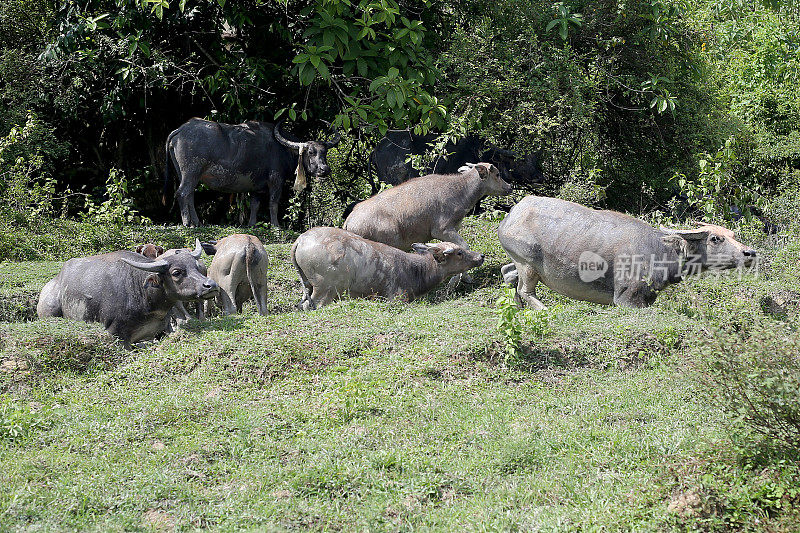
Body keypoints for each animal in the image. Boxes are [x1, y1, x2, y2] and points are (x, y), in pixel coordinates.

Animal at [162, 118, 340, 227]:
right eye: (310, 152)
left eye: (324, 152)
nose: (324, 169)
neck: (283, 149)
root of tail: (181, 129)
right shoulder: (276, 180)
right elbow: (273, 203)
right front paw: (276, 225)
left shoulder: (257, 186)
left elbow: (255, 204)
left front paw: (252, 224)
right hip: (191, 172)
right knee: (182, 193)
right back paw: (187, 223)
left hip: (187, 174)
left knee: (189, 195)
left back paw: (197, 222)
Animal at [290, 227, 484, 310]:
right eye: (459, 253)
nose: (480, 256)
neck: (413, 269)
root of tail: (300, 240)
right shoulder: (397, 298)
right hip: (326, 290)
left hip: (308, 286)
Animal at [500, 195, 756, 306]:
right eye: (715, 238)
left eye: (733, 235)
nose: (750, 253)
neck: (660, 251)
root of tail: (513, 213)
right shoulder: (627, 299)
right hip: (528, 264)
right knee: (525, 290)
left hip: (519, 263)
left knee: (507, 273)